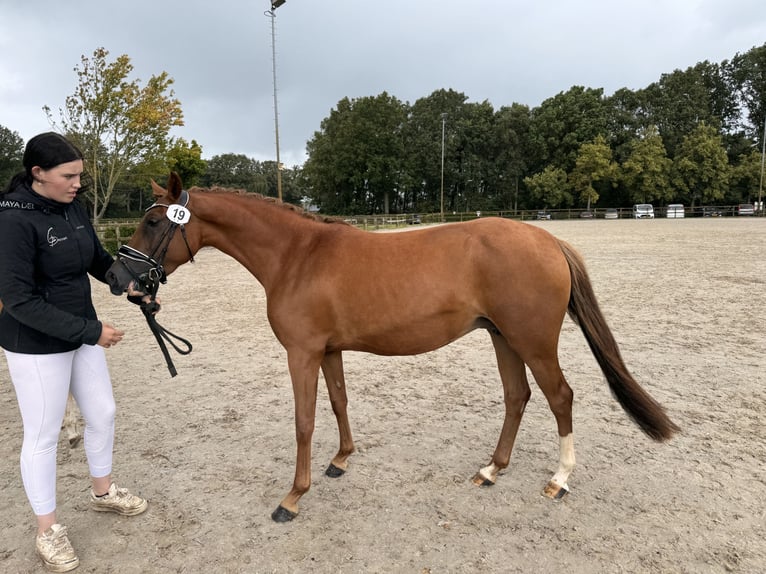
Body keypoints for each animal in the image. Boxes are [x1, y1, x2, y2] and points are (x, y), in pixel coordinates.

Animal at [105, 173, 680, 524]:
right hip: (503, 339)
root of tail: (549, 240)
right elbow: (338, 403)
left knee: (561, 397)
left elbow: (304, 421)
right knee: (517, 397)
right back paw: (491, 470)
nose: (116, 277)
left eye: (153, 221)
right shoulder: (328, 351)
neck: (297, 255)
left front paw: (293, 496)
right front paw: (341, 460)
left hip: (533, 342)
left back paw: (559, 480)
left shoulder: (301, 353)